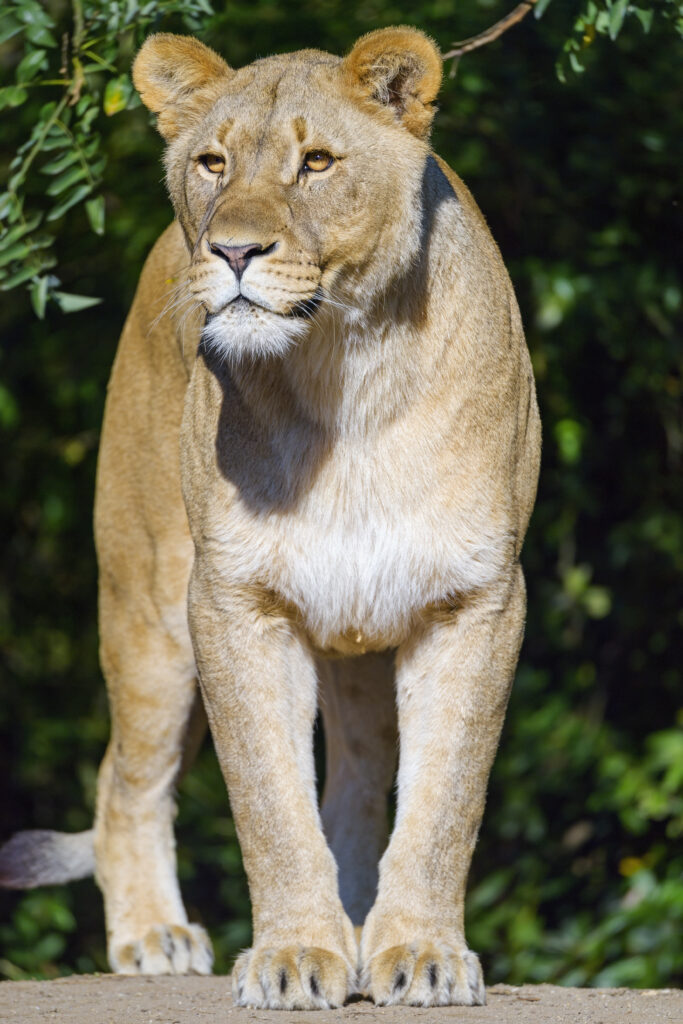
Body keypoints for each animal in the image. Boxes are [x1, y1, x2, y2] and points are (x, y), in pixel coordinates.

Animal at [0, 27, 540, 1009]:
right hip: (147, 609)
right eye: (212, 162)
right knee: (124, 780)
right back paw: (152, 936)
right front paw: (295, 954)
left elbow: (443, 799)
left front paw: (419, 952)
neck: (341, 371)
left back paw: (362, 927)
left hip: (357, 640)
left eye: (315, 162)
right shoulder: (232, 601)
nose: (233, 252)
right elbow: (268, 799)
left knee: (360, 780)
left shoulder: (475, 600)